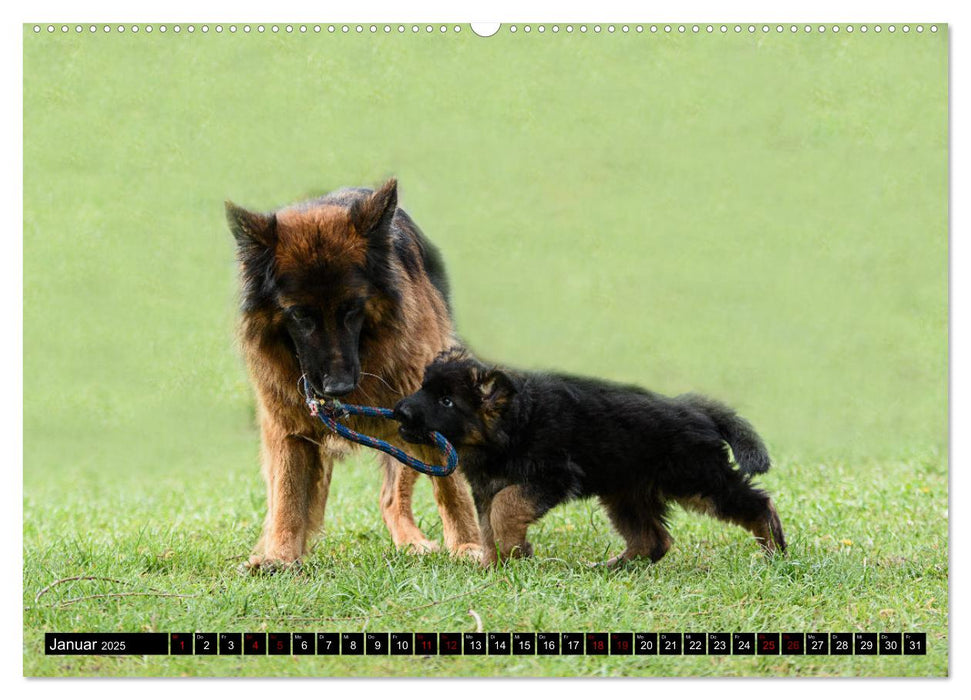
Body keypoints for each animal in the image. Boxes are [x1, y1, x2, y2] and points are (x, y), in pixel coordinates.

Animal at [225, 179, 482, 568]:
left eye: (352, 308)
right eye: (300, 315)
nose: (338, 387)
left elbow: (451, 486)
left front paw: (468, 545)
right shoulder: (287, 426)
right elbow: (286, 495)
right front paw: (280, 556)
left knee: (391, 499)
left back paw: (412, 541)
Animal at [398, 348, 784, 568]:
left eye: (446, 401)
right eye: (423, 388)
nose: (399, 411)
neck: (515, 424)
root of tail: (697, 409)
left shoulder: (552, 476)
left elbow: (505, 510)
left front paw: (512, 551)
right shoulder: (486, 491)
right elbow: (488, 524)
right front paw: (498, 565)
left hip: (698, 480)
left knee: (758, 503)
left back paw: (773, 551)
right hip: (627, 494)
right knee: (653, 541)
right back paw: (611, 568)